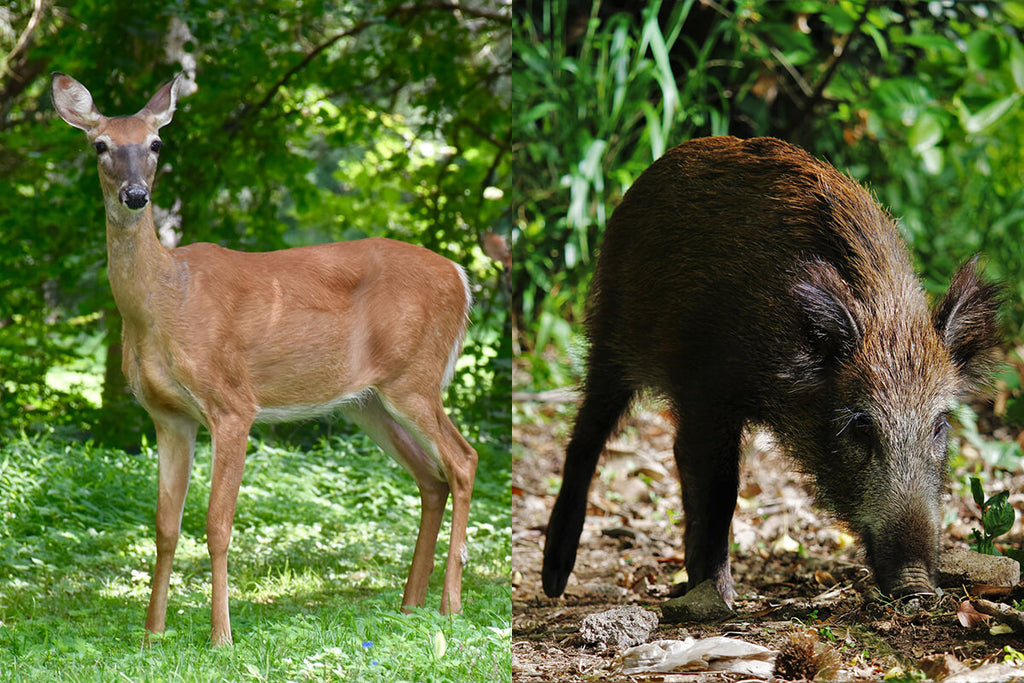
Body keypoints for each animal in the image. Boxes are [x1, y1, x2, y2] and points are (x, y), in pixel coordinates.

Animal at [49, 74, 477, 647]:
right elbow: (164, 526)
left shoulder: (232, 403)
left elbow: (216, 524)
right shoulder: (168, 415)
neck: (163, 301)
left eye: (156, 143)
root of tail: (461, 276)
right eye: (101, 146)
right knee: (431, 478)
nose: (136, 195)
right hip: (365, 401)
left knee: (462, 460)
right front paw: (151, 636)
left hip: (415, 377)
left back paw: (450, 606)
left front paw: (221, 638)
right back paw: (410, 606)